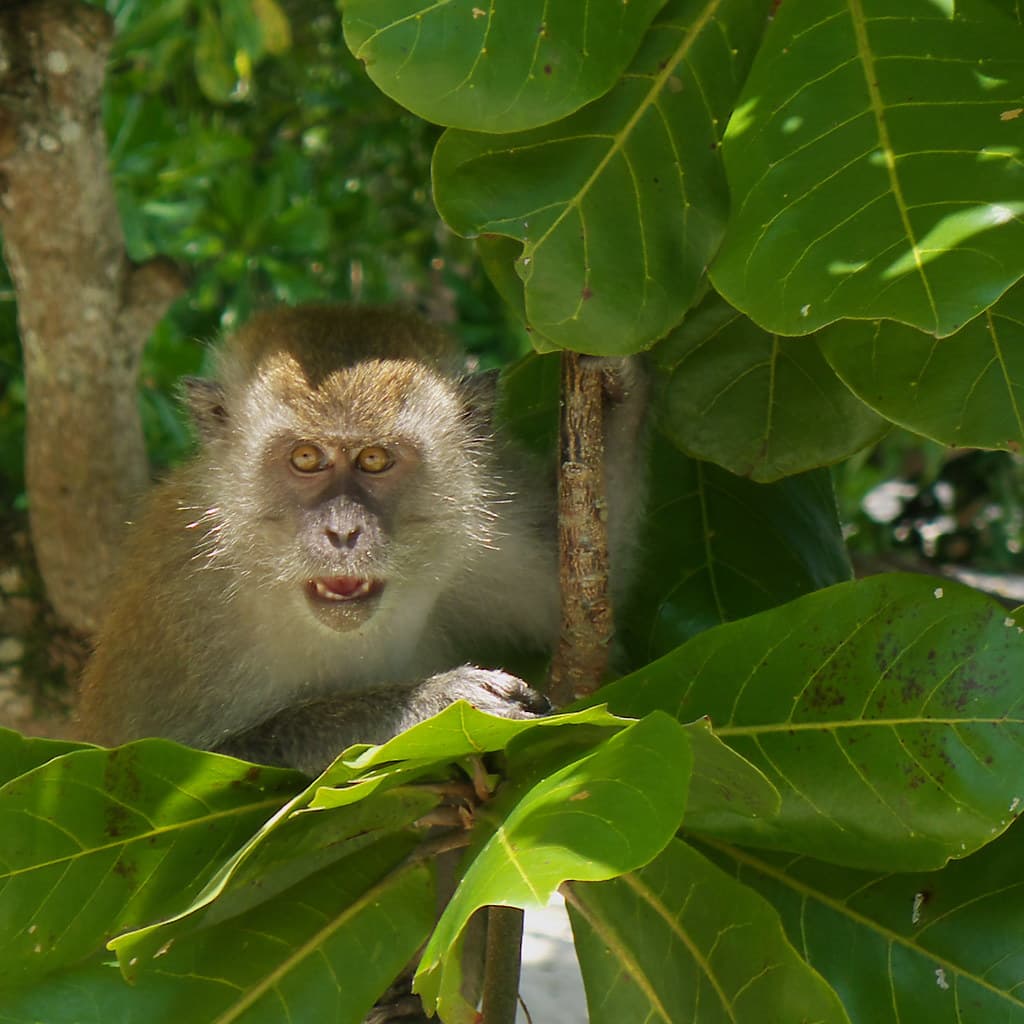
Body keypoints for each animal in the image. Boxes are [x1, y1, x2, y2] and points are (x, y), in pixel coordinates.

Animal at [78, 304, 645, 776]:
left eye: (375, 459)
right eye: (306, 457)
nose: (343, 531)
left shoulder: (494, 532)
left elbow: (582, 605)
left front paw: (614, 385)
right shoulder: (181, 603)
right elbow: (163, 759)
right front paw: (427, 702)